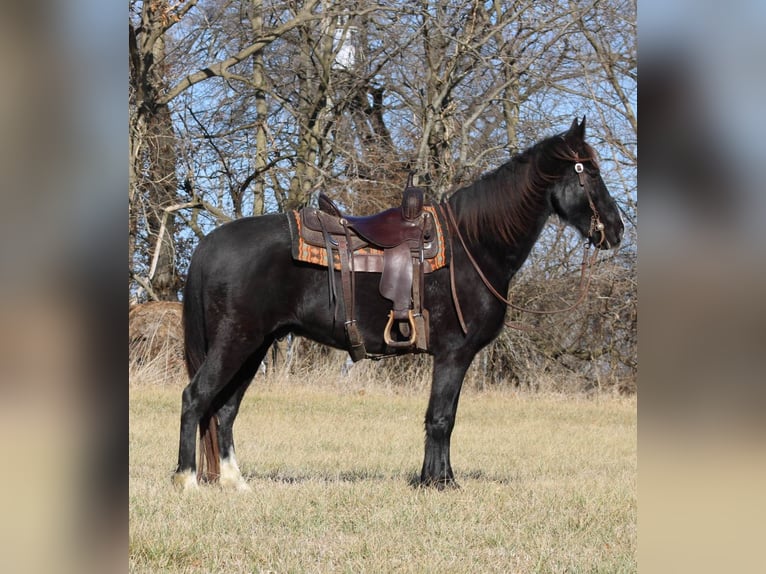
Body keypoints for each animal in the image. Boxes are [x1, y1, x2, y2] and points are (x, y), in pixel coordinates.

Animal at [172, 116, 624, 490]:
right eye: (591, 173)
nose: (616, 230)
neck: (474, 245)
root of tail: (209, 243)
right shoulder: (453, 354)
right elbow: (441, 418)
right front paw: (440, 484)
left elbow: (442, 417)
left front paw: (436, 478)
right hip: (237, 341)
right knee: (196, 398)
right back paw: (187, 480)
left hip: (255, 346)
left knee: (225, 409)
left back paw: (236, 482)